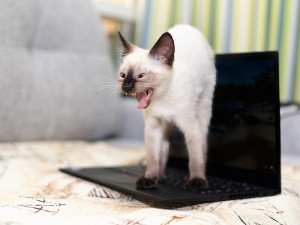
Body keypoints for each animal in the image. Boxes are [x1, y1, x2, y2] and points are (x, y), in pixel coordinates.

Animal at [116, 24, 216, 189]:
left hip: (203, 109)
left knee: (202, 146)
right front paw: (149, 178)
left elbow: (195, 157)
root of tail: (189, 27)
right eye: (123, 76)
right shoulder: (153, 126)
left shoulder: (190, 127)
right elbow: (152, 157)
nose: (127, 86)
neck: (162, 97)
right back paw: (159, 174)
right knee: (163, 149)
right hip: (164, 126)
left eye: (141, 76)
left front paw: (197, 180)